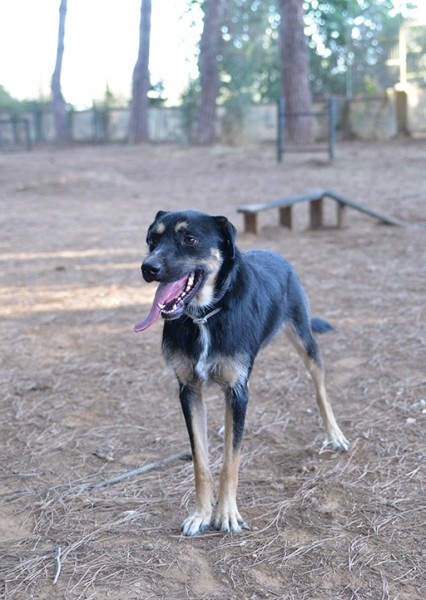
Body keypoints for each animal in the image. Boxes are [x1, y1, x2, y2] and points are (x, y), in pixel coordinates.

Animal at [134, 210, 350, 536]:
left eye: (190, 239)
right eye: (152, 239)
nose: (148, 267)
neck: (205, 316)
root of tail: (275, 254)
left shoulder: (236, 388)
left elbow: (230, 462)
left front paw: (226, 513)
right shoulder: (189, 390)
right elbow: (201, 462)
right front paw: (201, 513)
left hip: (304, 340)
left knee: (320, 390)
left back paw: (334, 434)